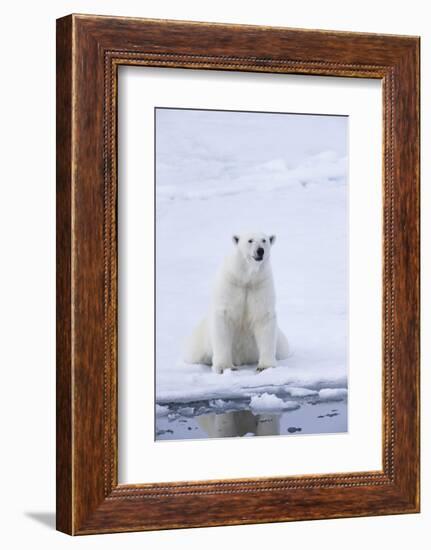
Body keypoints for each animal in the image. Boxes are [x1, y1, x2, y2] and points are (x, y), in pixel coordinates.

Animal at [183, 231, 288, 378]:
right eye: (250, 240)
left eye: (264, 240)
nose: (260, 251)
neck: (246, 278)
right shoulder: (231, 284)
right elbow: (224, 319)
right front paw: (225, 367)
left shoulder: (260, 285)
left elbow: (263, 317)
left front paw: (265, 367)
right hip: (199, 341)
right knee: (194, 354)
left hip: (280, 342)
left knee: (284, 349)